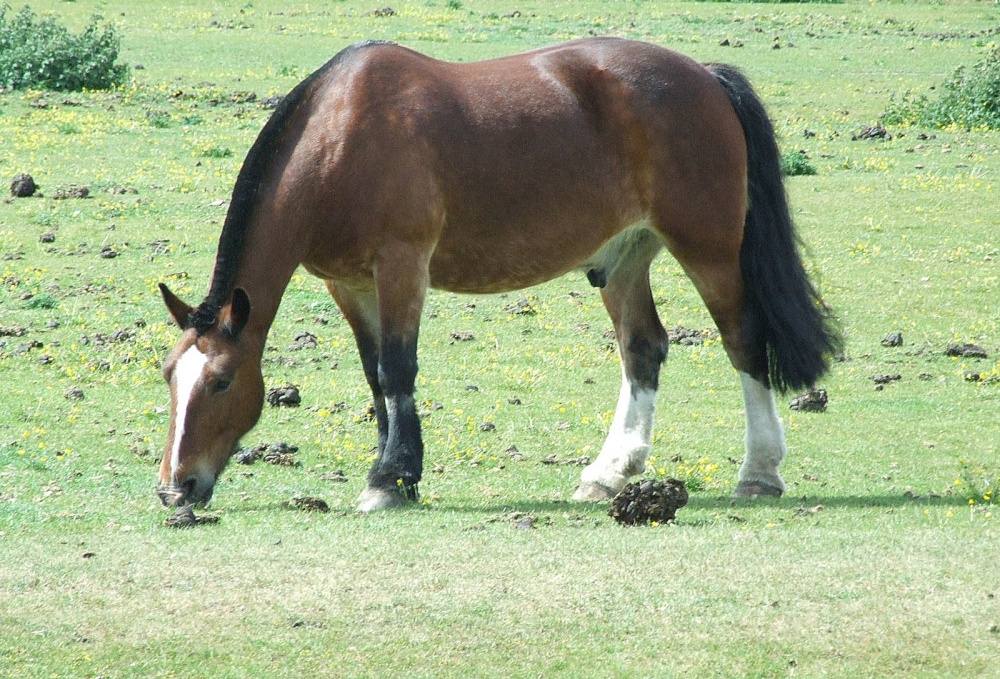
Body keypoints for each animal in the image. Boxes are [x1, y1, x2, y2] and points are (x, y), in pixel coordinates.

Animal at [156, 37, 841, 512]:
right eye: (169, 377)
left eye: (220, 381)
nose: (174, 489)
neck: (340, 137)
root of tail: (706, 77)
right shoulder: (348, 284)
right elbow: (375, 380)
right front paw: (396, 473)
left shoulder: (402, 264)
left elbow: (396, 370)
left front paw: (390, 481)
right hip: (626, 258)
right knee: (642, 349)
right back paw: (608, 474)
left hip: (709, 250)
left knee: (743, 342)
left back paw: (759, 472)